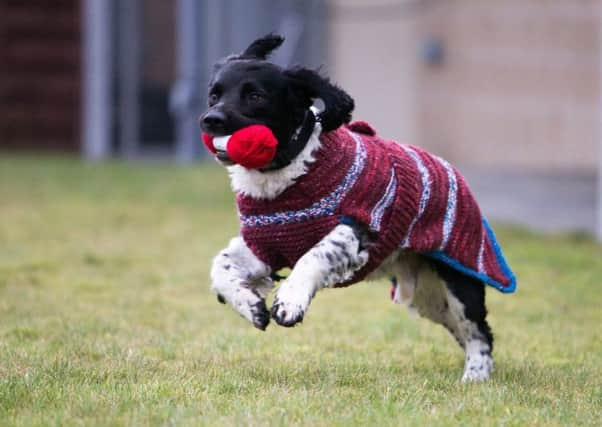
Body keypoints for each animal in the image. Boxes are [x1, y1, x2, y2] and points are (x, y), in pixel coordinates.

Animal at [198, 32, 516, 382]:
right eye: (214, 95)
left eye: (255, 95)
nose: (211, 120)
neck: (291, 172)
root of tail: (453, 171)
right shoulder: (264, 244)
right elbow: (221, 266)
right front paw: (250, 305)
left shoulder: (355, 229)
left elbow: (314, 256)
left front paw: (290, 301)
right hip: (428, 297)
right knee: (465, 330)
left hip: (459, 279)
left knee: (479, 332)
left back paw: (475, 375)